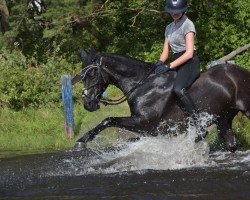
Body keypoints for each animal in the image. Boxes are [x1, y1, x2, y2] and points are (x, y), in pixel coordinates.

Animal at [72, 49, 250, 152]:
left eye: (92, 74)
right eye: (82, 75)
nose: (88, 104)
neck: (142, 85)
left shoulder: (145, 122)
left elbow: (108, 120)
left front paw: (81, 141)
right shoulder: (149, 129)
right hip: (224, 118)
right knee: (231, 143)